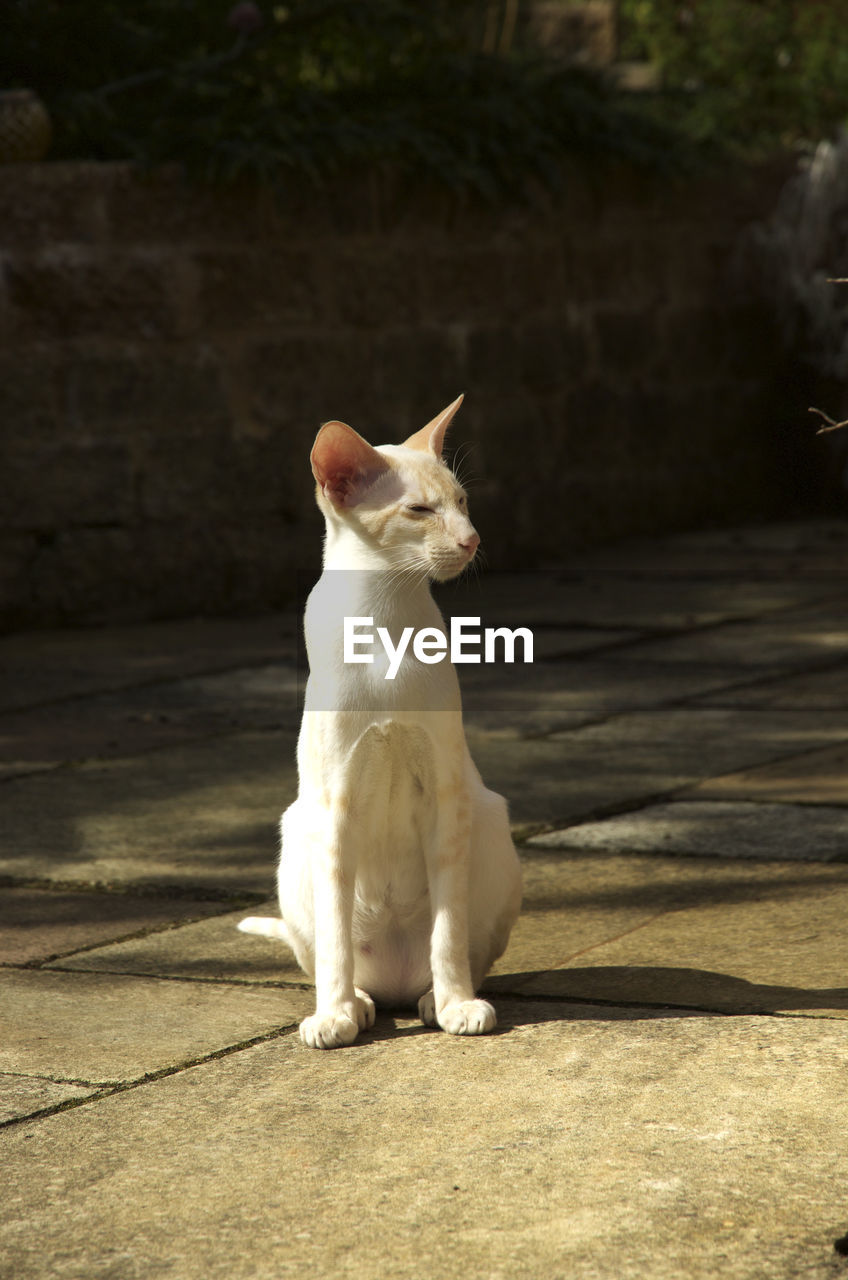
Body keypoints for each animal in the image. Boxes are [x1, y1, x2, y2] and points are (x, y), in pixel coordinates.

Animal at [235, 394, 522, 1044]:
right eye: (420, 510)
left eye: (463, 503)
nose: (472, 540)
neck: (386, 618)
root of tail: (394, 978)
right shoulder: (335, 805)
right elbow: (336, 942)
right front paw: (334, 1017)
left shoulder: (446, 795)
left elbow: (448, 931)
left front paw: (456, 1005)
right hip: (299, 833)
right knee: (332, 951)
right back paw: (358, 1002)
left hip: (487, 819)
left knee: (456, 952)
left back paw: (434, 999)